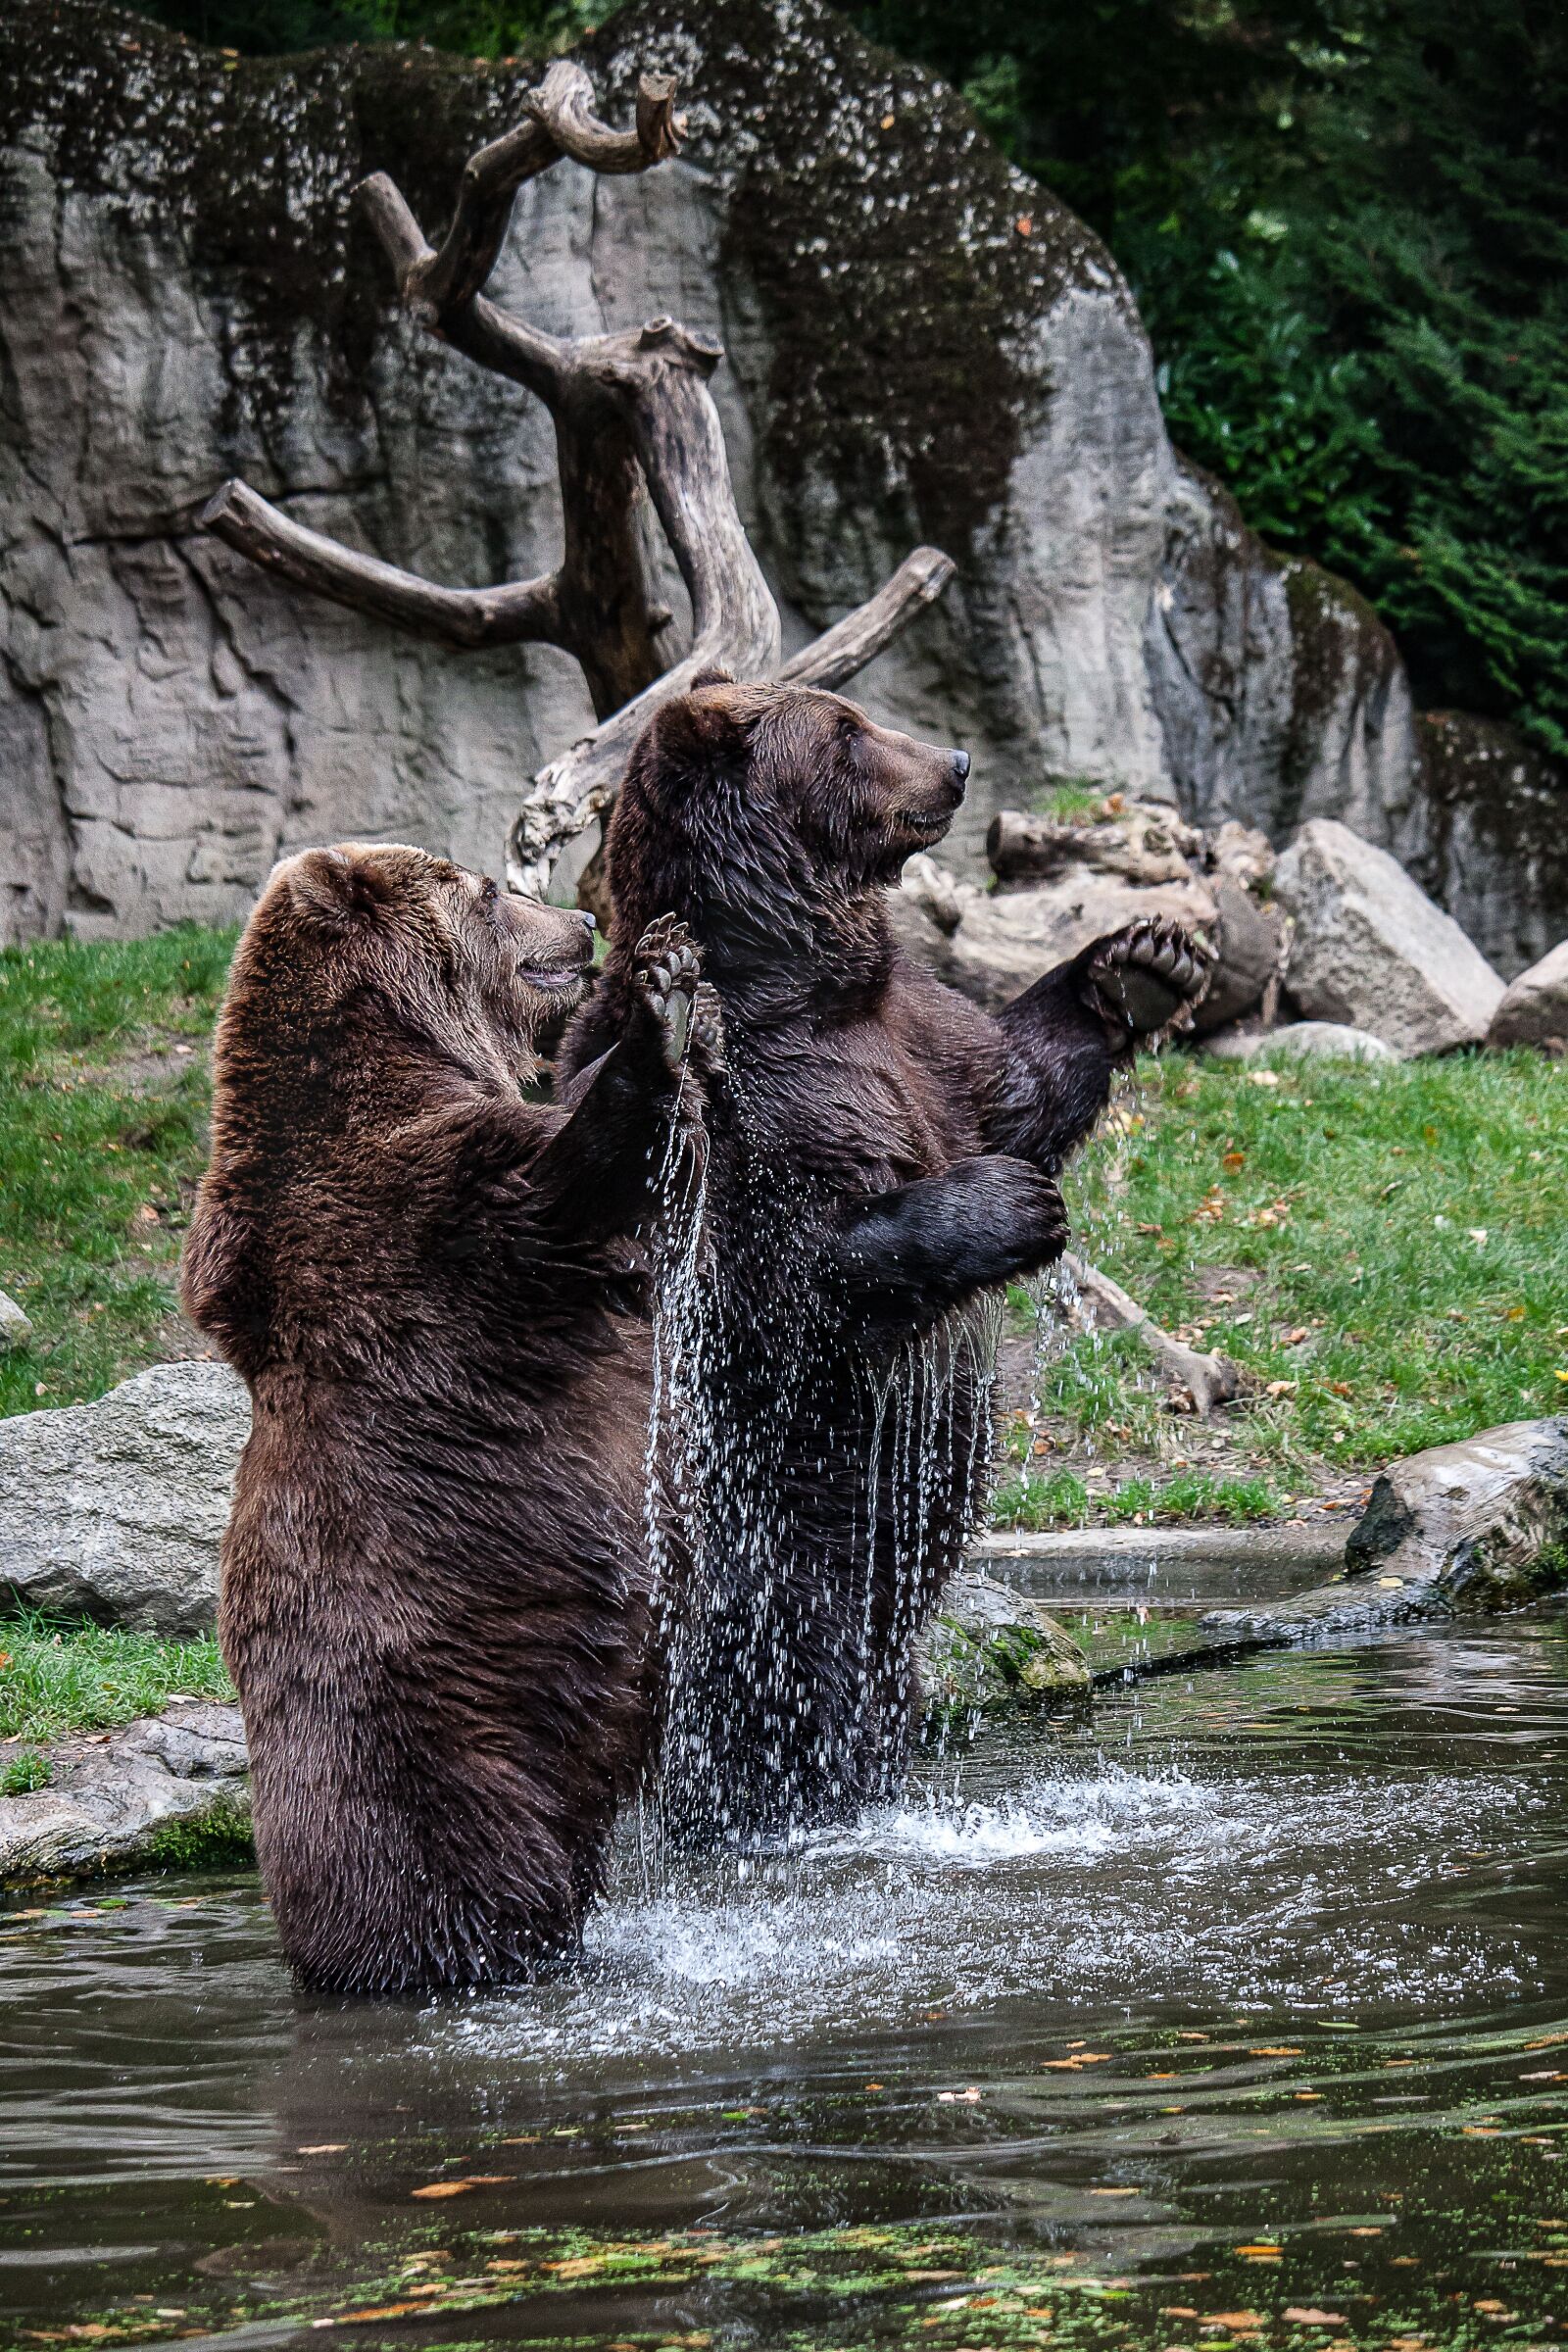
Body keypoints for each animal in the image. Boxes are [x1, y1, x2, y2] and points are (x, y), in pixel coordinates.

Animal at [180, 842, 717, 1995]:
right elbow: (568, 1186)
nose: (581, 924)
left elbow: (669, 1187)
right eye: (485, 886)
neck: (404, 1053)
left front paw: (677, 988)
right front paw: (656, 1012)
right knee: (459, 1862)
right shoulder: (408, 1211)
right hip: (432, 1737)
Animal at [559, 683, 1209, 1844]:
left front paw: (1140, 960)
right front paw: (1013, 1204)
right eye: (848, 730)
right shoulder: (755, 1100)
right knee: (794, 1680)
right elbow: (799, 1271)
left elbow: (1017, 1080)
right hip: (768, 1548)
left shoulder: (918, 1037)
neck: (803, 977)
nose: (955, 761)